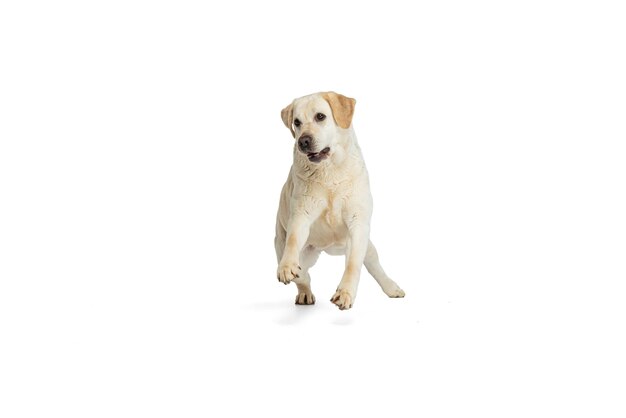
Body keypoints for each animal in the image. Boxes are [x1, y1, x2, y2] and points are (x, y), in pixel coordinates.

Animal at [274, 91, 404, 310]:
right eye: (297, 122)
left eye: (320, 116)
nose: (303, 141)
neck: (330, 171)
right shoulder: (301, 215)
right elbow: (293, 241)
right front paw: (287, 266)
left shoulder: (358, 224)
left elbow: (353, 264)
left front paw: (345, 293)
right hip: (287, 247)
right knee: (303, 276)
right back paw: (304, 292)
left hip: (367, 247)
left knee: (375, 267)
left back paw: (392, 288)